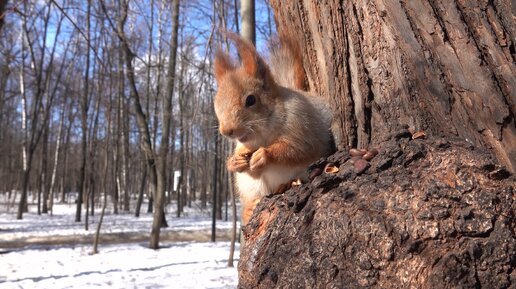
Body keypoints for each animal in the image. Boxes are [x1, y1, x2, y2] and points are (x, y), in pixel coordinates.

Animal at [214, 32, 334, 225]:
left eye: (251, 100)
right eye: (216, 103)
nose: (227, 131)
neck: (263, 134)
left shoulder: (302, 125)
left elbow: (300, 149)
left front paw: (263, 155)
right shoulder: (242, 145)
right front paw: (234, 162)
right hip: (249, 185)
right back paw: (248, 209)